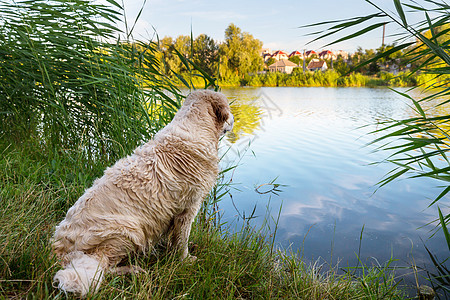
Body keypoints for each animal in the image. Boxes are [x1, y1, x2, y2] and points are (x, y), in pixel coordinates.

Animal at [52, 90, 234, 296]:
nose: (234, 119)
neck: (196, 127)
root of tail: (60, 249)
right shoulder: (188, 209)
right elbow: (182, 240)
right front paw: (185, 260)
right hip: (128, 232)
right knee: (103, 267)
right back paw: (132, 271)